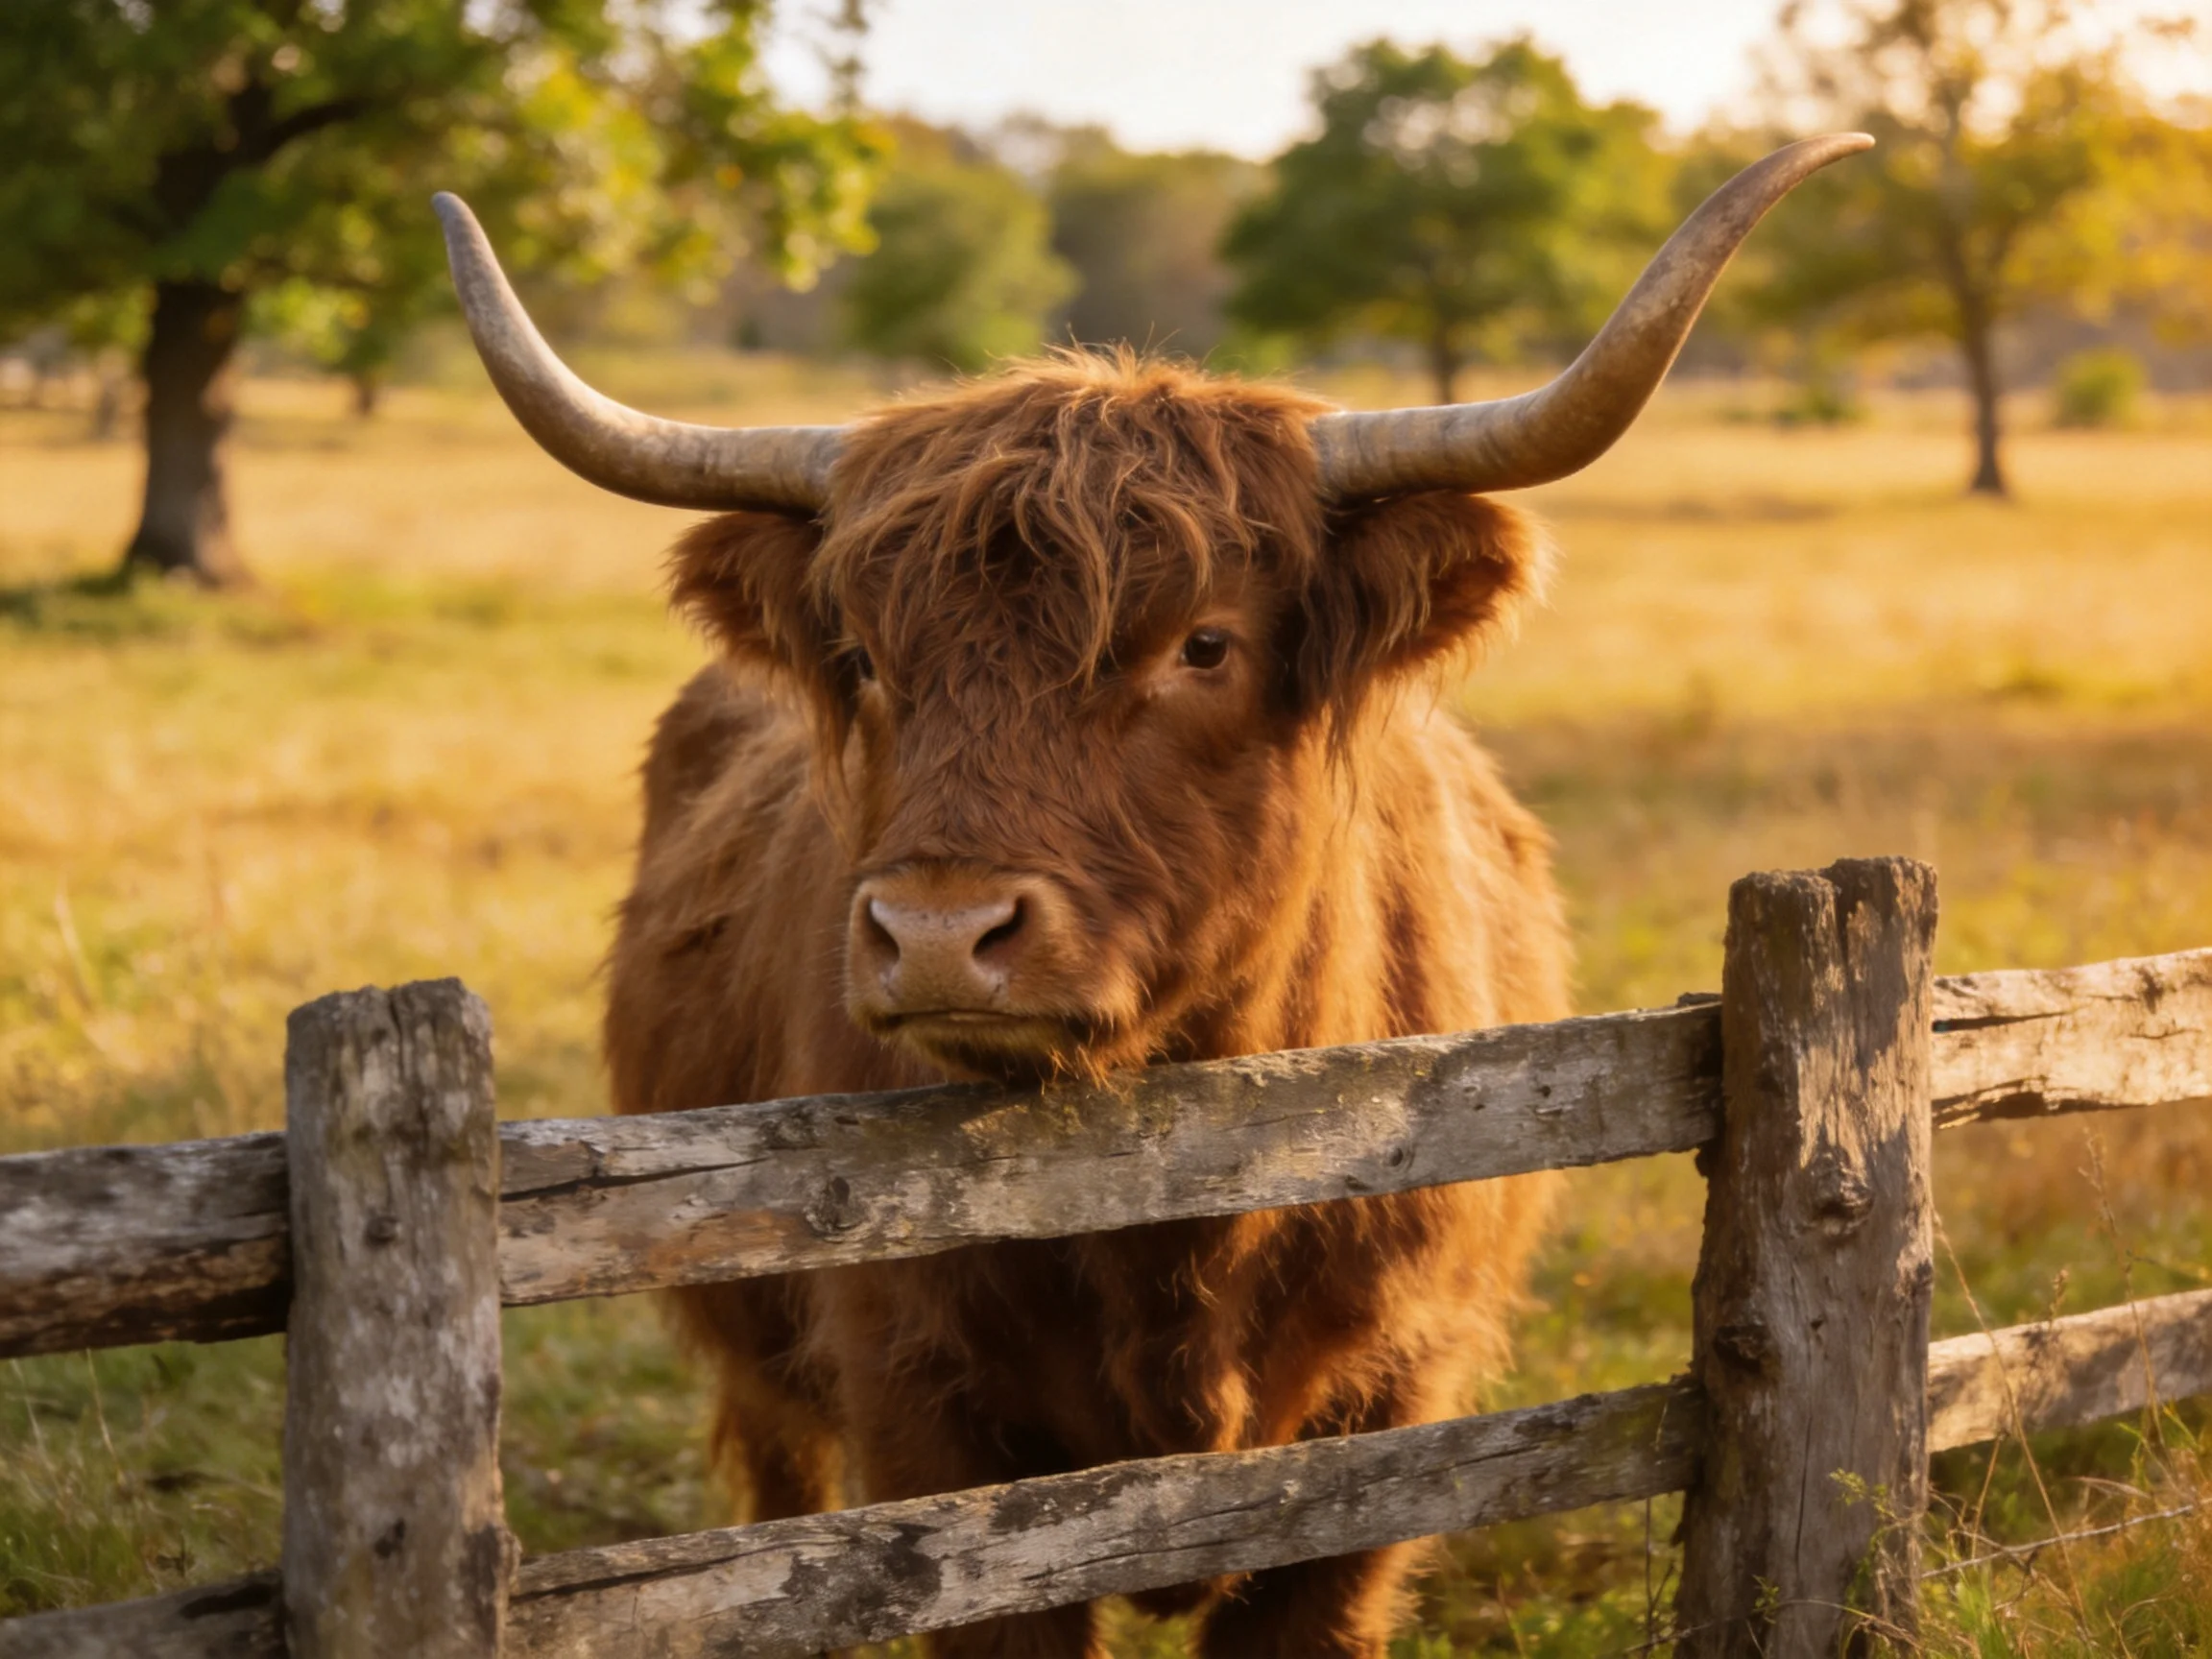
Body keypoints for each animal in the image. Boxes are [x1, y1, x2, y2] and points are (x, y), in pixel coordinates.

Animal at [437, 134, 1868, 1658]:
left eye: (1204, 645)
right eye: (867, 659)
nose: (936, 935)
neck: (1183, 1175)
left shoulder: (1391, 1420)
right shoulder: (922, 1420)